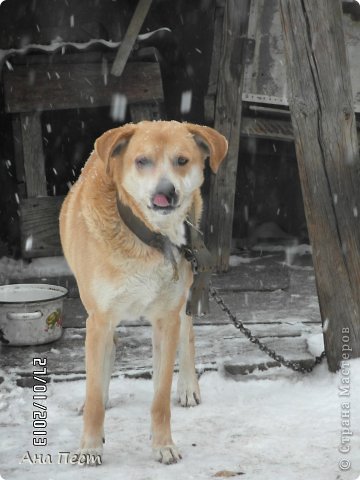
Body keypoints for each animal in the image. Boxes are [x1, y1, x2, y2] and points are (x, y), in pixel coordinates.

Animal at [59, 120, 228, 464]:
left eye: (182, 160)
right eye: (142, 161)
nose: (166, 192)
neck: (147, 237)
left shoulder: (166, 317)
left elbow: (160, 396)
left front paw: (163, 444)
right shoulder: (99, 319)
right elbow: (94, 393)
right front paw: (90, 446)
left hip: (185, 289)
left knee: (187, 333)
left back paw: (187, 386)